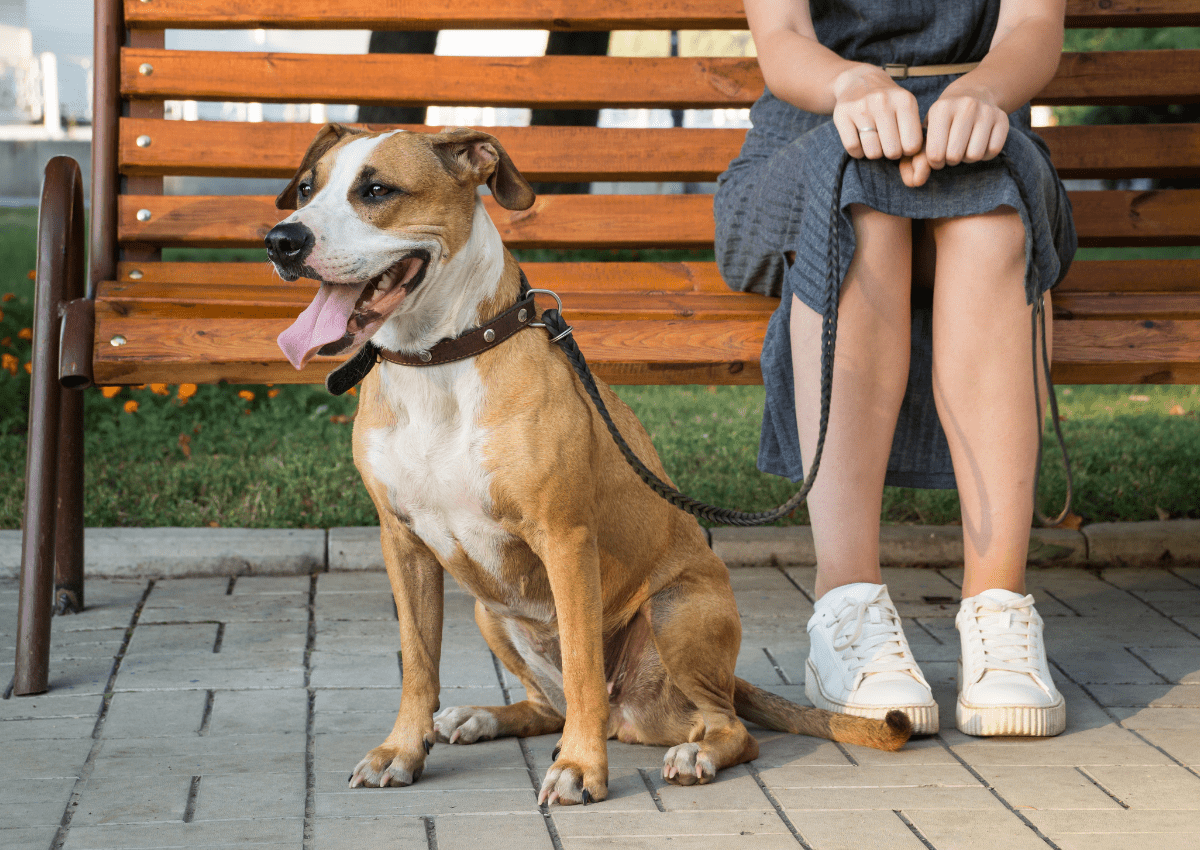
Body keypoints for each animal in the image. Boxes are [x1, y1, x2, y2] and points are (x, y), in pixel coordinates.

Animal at [265, 124, 907, 801]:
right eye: (305, 188)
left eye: (377, 190)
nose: (283, 240)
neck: (438, 362)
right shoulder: (402, 541)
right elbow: (418, 661)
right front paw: (401, 750)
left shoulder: (565, 538)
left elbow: (578, 664)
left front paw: (579, 767)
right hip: (489, 610)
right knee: (550, 704)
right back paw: (483, 717)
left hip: (675, 612)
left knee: (720, 723)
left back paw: (694, 752)